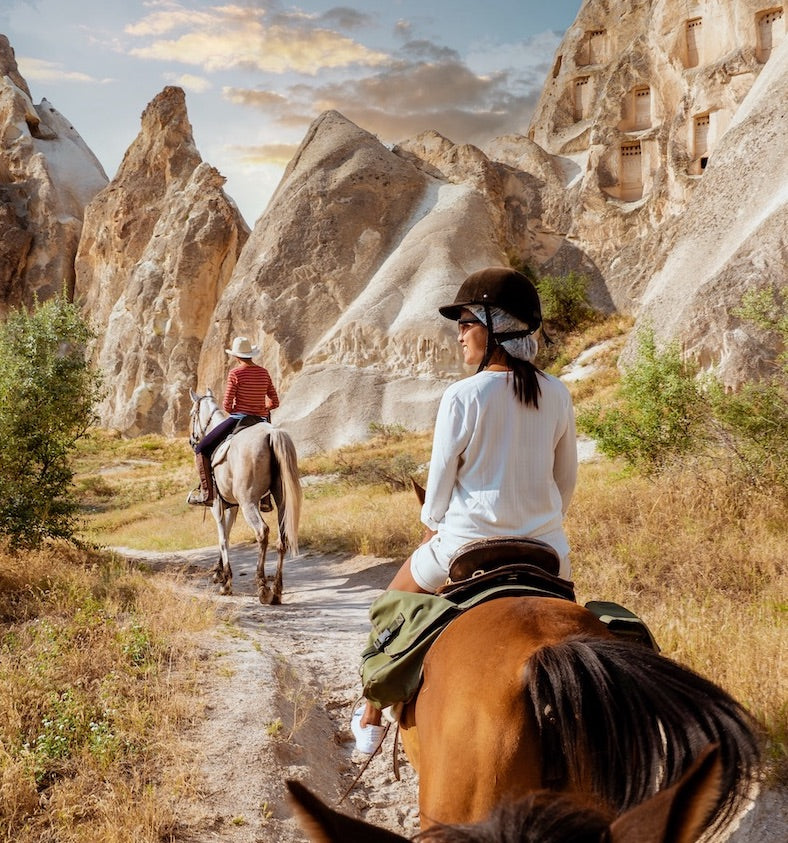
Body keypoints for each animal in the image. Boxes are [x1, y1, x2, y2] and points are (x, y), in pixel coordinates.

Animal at [189, 390, 304, 608]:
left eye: (192, 414)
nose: (192, 441)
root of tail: (271, 434)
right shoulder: (232, 506)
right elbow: (227, 532)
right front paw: (219, 572)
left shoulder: (217, 505)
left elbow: (223, 537)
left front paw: (226, 582)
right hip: (281, 501)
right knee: (282, 538)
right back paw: (277, 591)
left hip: (248, 503)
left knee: (262, 532)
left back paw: (263, 588)